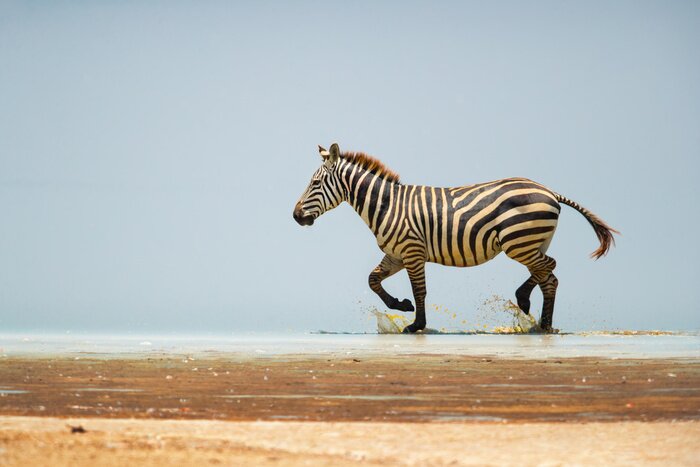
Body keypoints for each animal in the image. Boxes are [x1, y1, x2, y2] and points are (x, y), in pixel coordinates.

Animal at [293, 143, 618, 333]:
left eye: (315, 183)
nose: (296, 216)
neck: (387, 205)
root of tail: (550, 191)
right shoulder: (396, 254)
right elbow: (373, 280)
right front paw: (401, 306)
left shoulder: (412, 250)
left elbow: (420, 291)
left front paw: (417, 324)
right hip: (531, 242)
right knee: (547, 274)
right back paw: (536, 317)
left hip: (519, 242)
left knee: (549, 271)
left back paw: (536, 316)